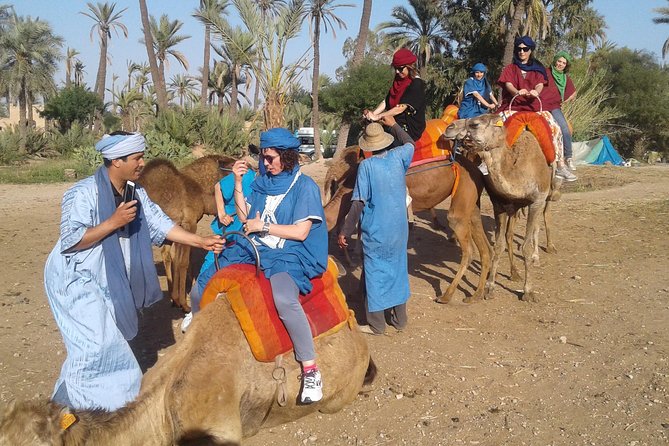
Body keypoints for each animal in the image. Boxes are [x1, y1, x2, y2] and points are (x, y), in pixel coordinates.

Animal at [137, 155, 236, 312]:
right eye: (232, 164)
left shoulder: (177, 226)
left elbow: (176, 259)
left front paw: (175, 299)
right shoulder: (189, 223)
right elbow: (183, 262)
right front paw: (184, 304)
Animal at [444, 113, 564, 302]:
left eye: (475, 124)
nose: (449, 127)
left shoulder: (537, 200)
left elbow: (526, 246)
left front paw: (528, 291)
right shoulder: (500, 203)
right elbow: (499, 245)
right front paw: (490, 287)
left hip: (547, 195)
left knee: (544, 217)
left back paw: (543, 252)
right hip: (514, 208)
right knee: (509, 234)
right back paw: (514, 273)